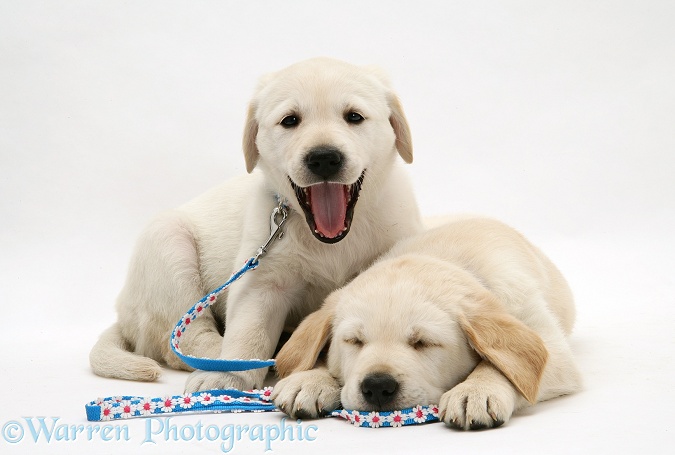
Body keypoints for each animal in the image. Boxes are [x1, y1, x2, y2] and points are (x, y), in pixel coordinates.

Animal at [87, 57, 420, 394]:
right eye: (290, 120)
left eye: (354, 116)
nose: (324, 158)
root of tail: (123, 313)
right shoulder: (261, 281)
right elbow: (249, 332)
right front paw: (228, 375)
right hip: (167, 245)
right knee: (179, 341)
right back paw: (222, 359)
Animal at [272, 217, 584, 432]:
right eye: (354, 341)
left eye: (423, 343)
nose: (377, 386)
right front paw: (309, 380)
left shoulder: (551, 344)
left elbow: (509, 366)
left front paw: (476, 391)